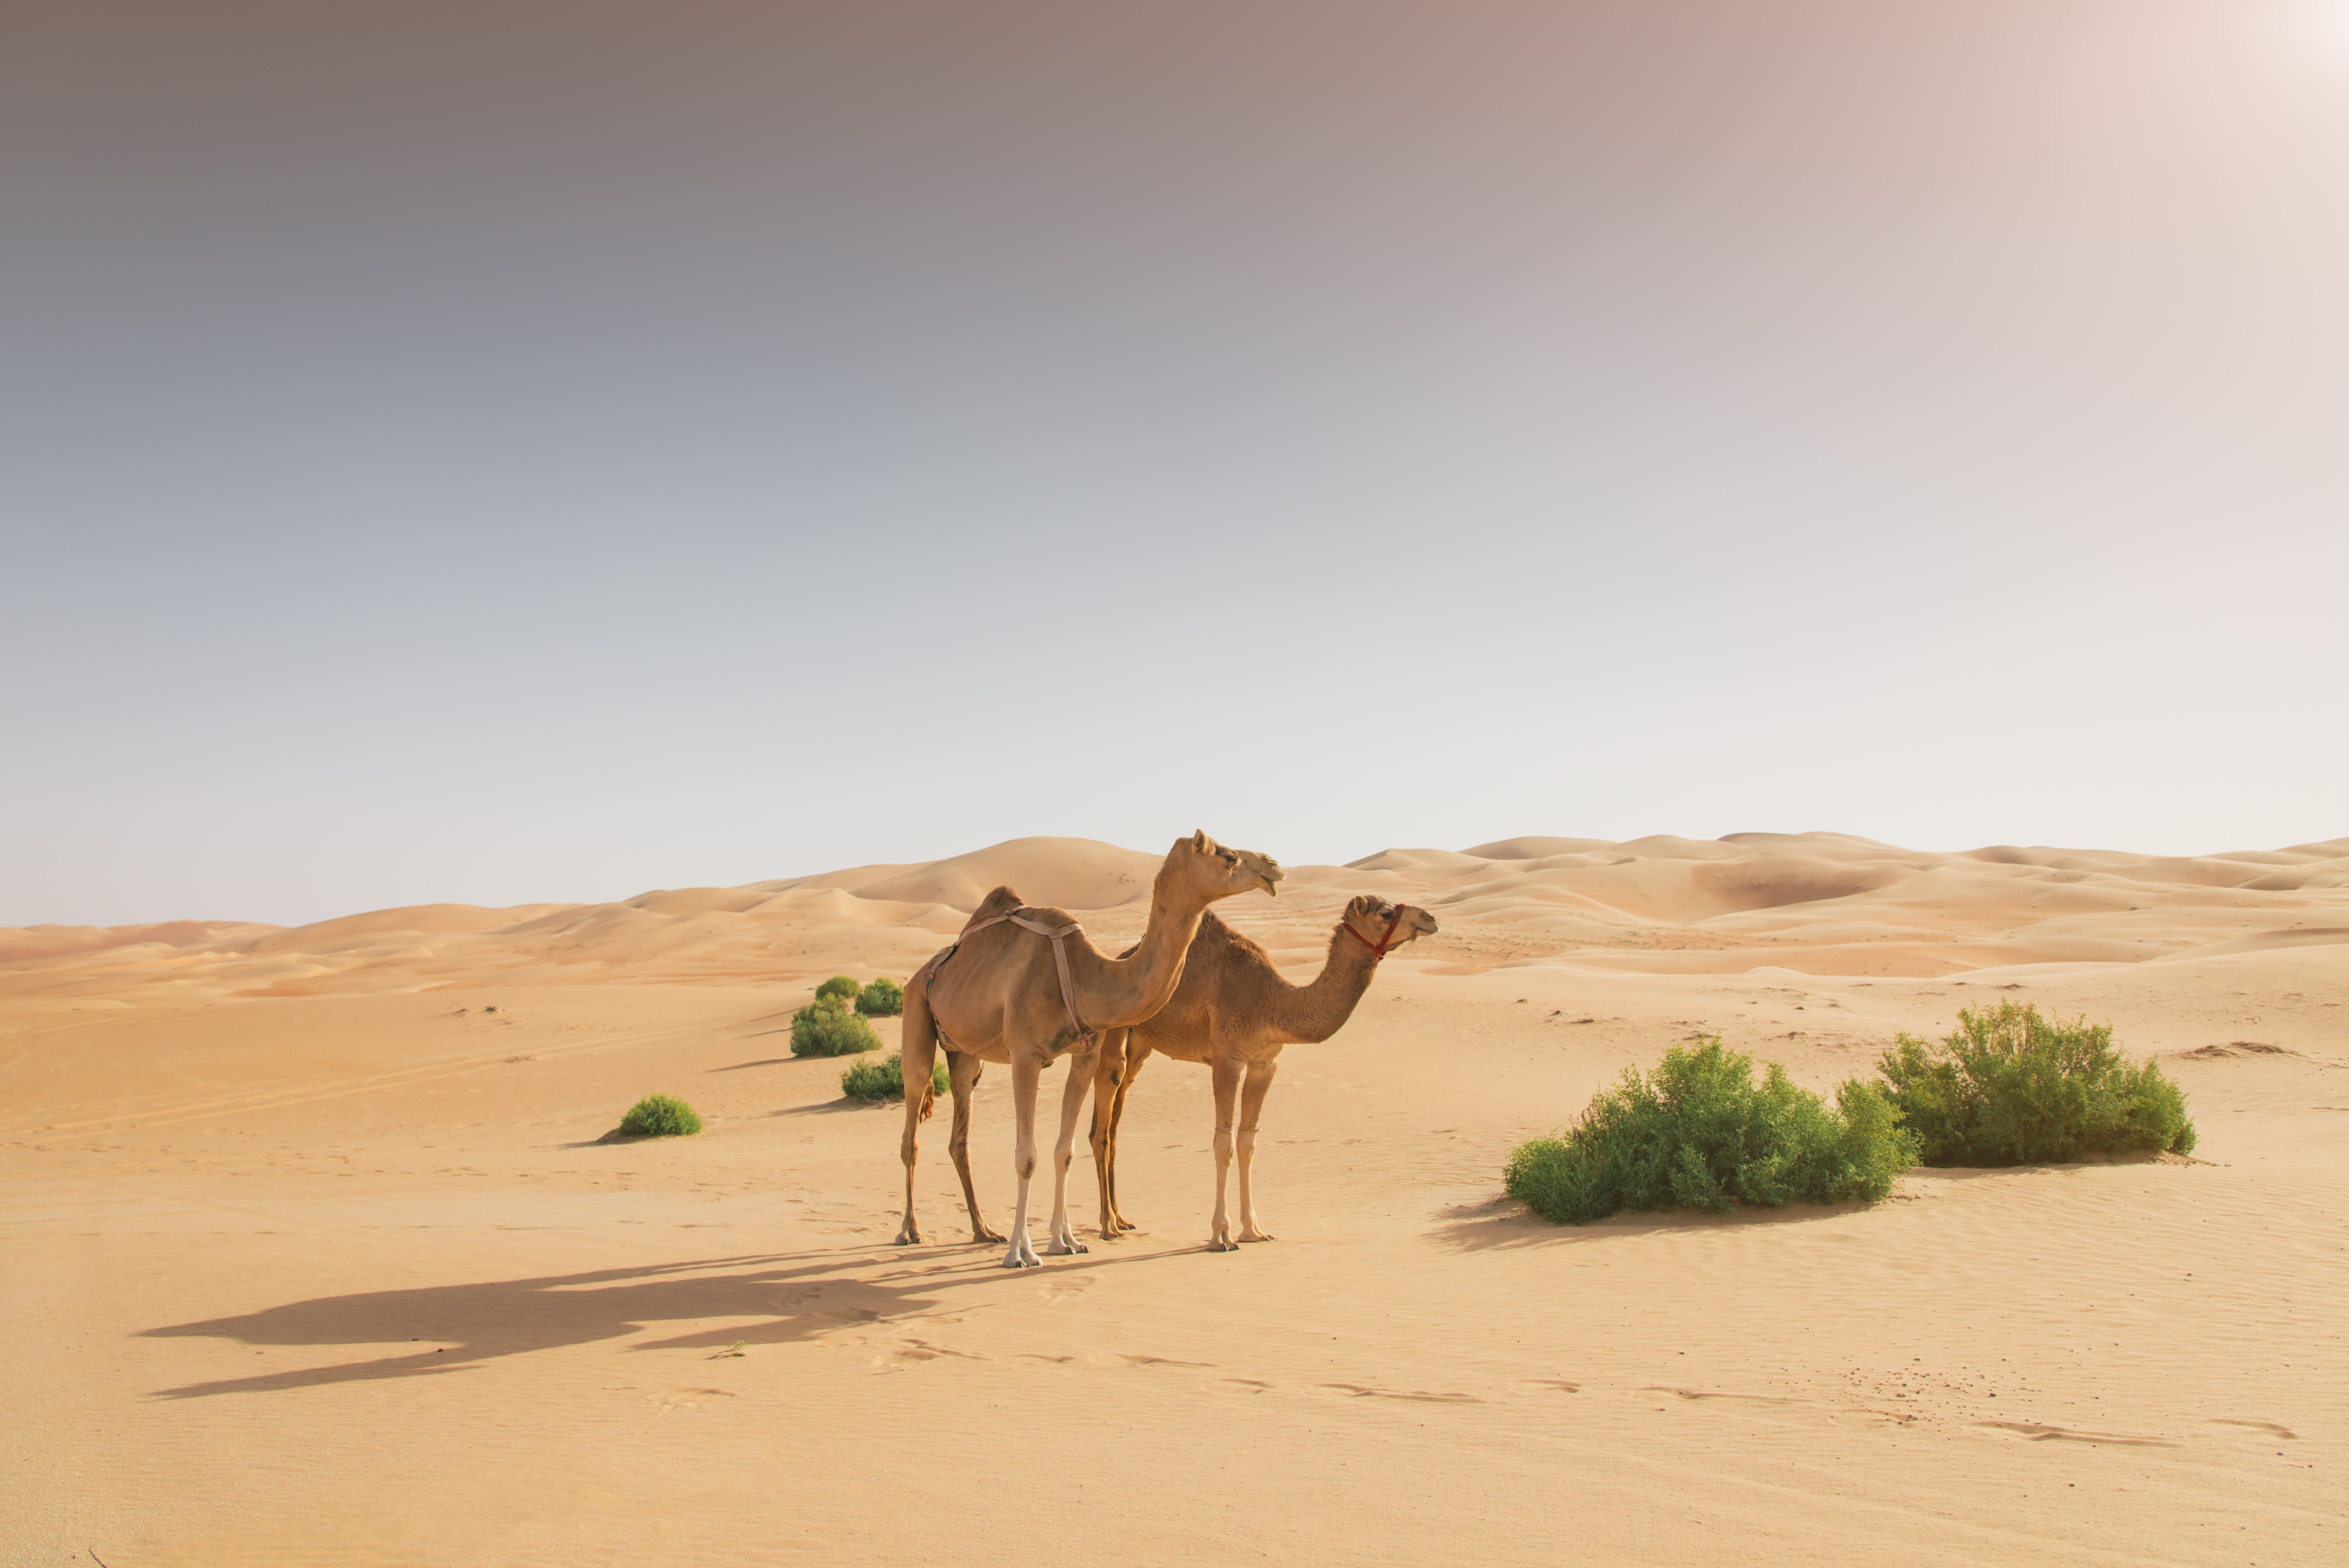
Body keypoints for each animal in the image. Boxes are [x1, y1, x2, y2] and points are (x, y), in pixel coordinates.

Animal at [895, 831, 1283, 1268]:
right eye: (1229, 857)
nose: (1273, 866)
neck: (1086, 979)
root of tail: (921, 974)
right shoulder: (1025, 1055)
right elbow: (1026, 1156)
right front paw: (1023, 1252)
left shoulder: (1084, 1055)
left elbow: (1065, 1150)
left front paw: (1065, 1240)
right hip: (917, 1013)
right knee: (911, 1127)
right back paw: (911, 1230)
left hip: (965, 1054)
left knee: (959, 1136)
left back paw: (984, 1231)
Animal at [1088, 893, 1437, 1250]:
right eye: (1386, 913)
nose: (1430, 919)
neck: (1273, 1004)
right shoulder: (1227, 1057)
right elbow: (1224, 1144)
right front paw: (1221, 1235)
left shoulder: (1264, 1063)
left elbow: (1247, 1143)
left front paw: (1254, 1230)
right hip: (1112, 1033)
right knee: (1101, 1123)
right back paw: (1108, 1227)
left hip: (1141, 1043)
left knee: (1115, 1120)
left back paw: (1122, 1218)